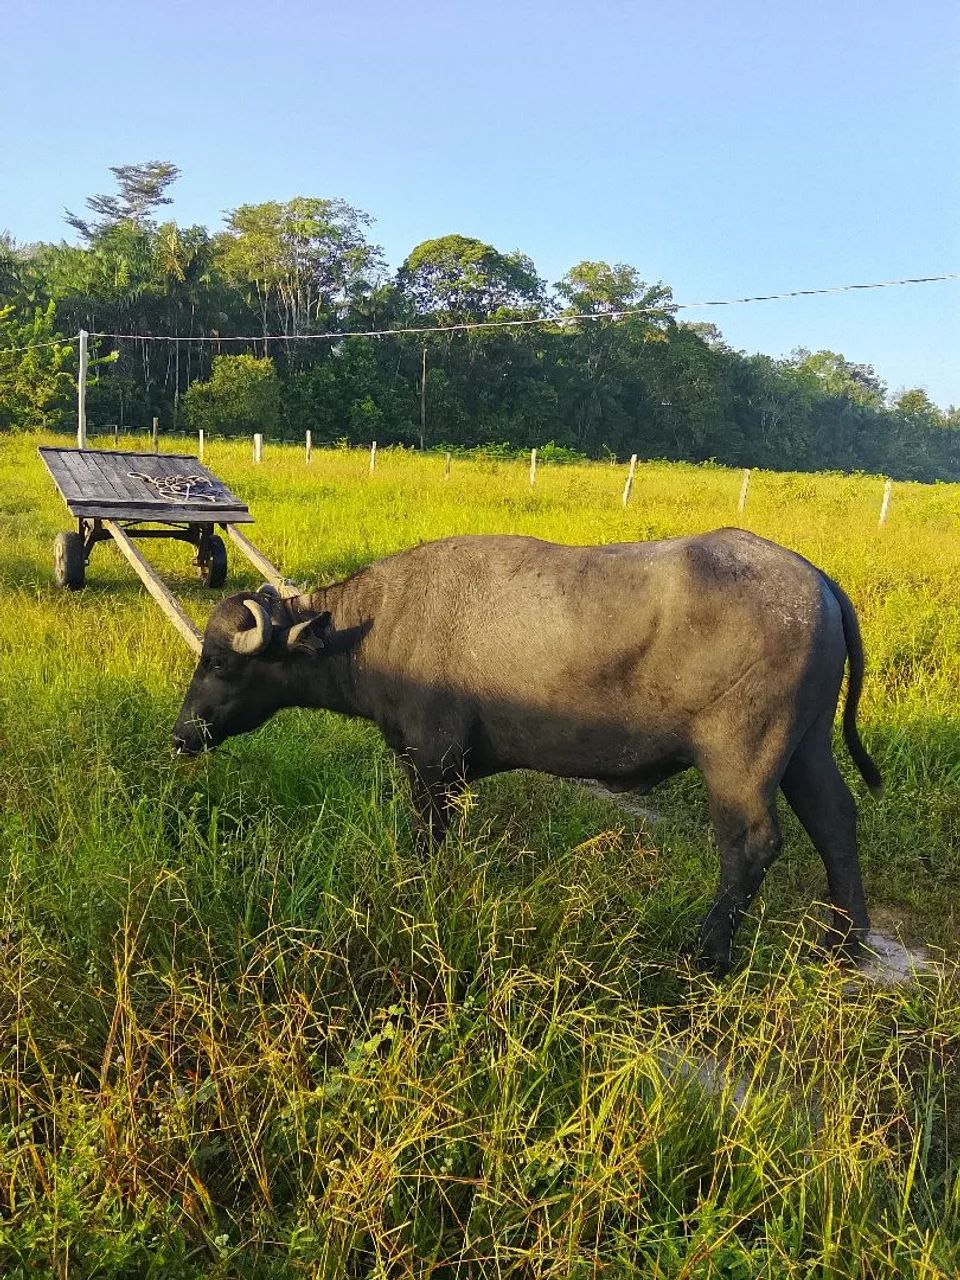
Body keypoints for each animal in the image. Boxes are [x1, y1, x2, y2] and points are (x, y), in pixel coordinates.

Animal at [172, 529, 881, 973]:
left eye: (217, 662)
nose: (181, 735)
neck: (380, 626)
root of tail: (816, 582)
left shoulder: (433, 765)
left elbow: (427, 837)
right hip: (807, 749)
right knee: (836, 821)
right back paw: (845, 943)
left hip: (741, 759)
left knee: (752, 844)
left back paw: (708, 954)